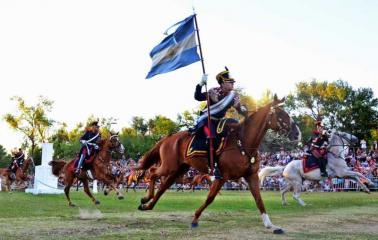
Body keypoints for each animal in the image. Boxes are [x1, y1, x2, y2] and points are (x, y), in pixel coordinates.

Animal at [137, 94, 302, 233]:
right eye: (281, 114)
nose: (297, 133)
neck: (242, 142)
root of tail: (168, 138)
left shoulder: (251, 176)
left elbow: (259, 200)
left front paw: (270, 225)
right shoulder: (222, 176)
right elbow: (210, 198)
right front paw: (195, 219)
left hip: (178, 170)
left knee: (163, 186)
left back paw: (146, 205)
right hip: (169, 167)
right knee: (152, 173)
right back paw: (146, 198)